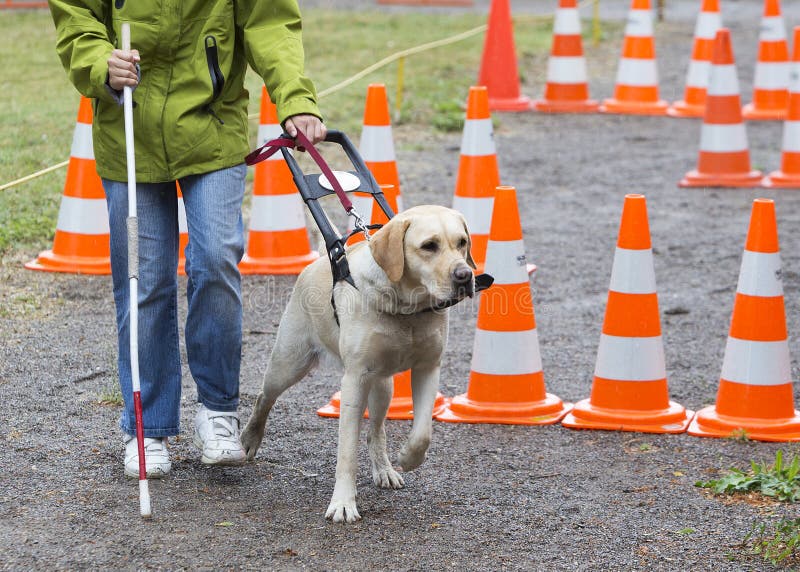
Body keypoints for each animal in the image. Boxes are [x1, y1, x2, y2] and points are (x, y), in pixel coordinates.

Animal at [238, 204, 476, 524]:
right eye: (429, 246)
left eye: (462, 242)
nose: (465, 275)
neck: (407, 308)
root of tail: (317, 262)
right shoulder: (354, 381)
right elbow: (347, 451)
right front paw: (342, 503)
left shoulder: (428, 368)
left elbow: (422, 433)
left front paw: (408, 458)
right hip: (288, 364)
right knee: (265, 397)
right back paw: (250, 438)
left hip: (383, 387)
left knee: (376, 431)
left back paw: (385, 469)